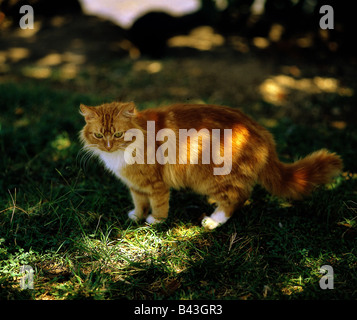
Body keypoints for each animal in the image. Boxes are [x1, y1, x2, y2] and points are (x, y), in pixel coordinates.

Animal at [78, 101, 342, 229]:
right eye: (99, 136)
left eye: (119, 134)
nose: (109, 146)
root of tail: (261, 132)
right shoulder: (136, 185)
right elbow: (139, 202)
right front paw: (137, 216)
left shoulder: (156, 184)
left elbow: (159, 204)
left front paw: (155, 220)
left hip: (213, 179)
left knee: (238, 198)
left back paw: (214, 221)